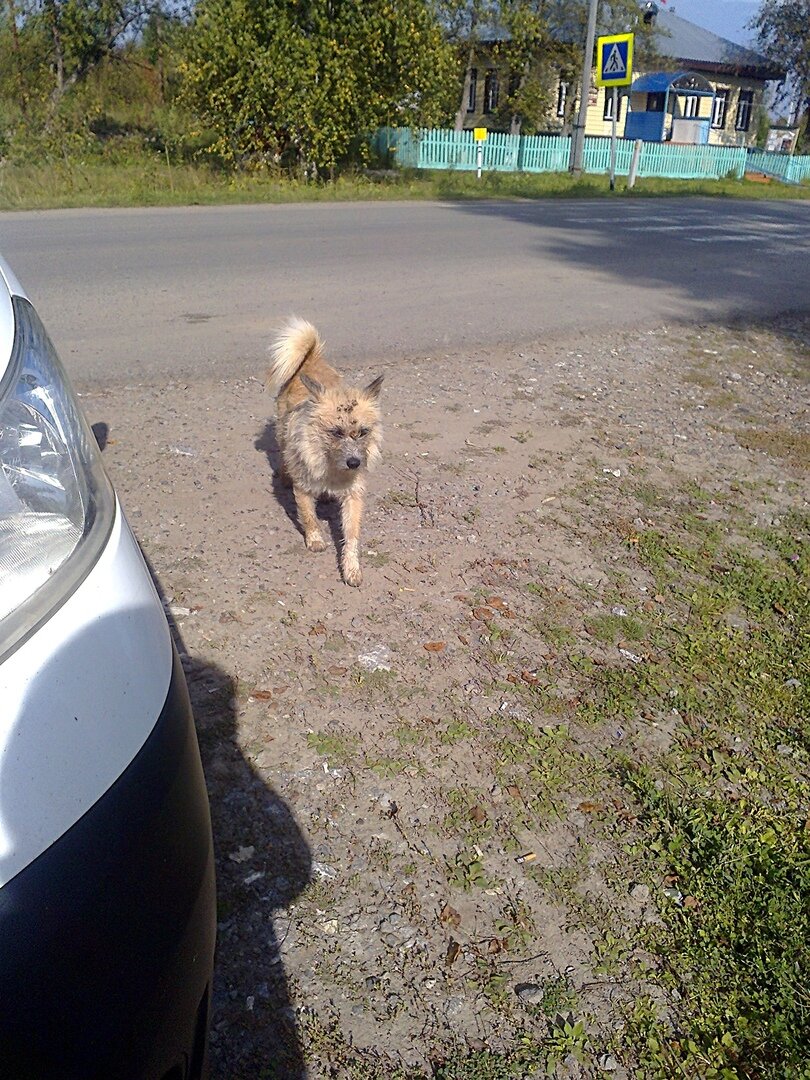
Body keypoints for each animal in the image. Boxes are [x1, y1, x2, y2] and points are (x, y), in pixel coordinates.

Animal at [267, 317, 384, 587]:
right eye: (335, 432)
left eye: (363, 432)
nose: (354, 462)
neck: (333, 468)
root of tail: (310, 360)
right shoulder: (303, 489)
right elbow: (309, 517)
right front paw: (315, 540)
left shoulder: (354, 496)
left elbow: (351, 536)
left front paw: (351, 568)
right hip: (282, 432)